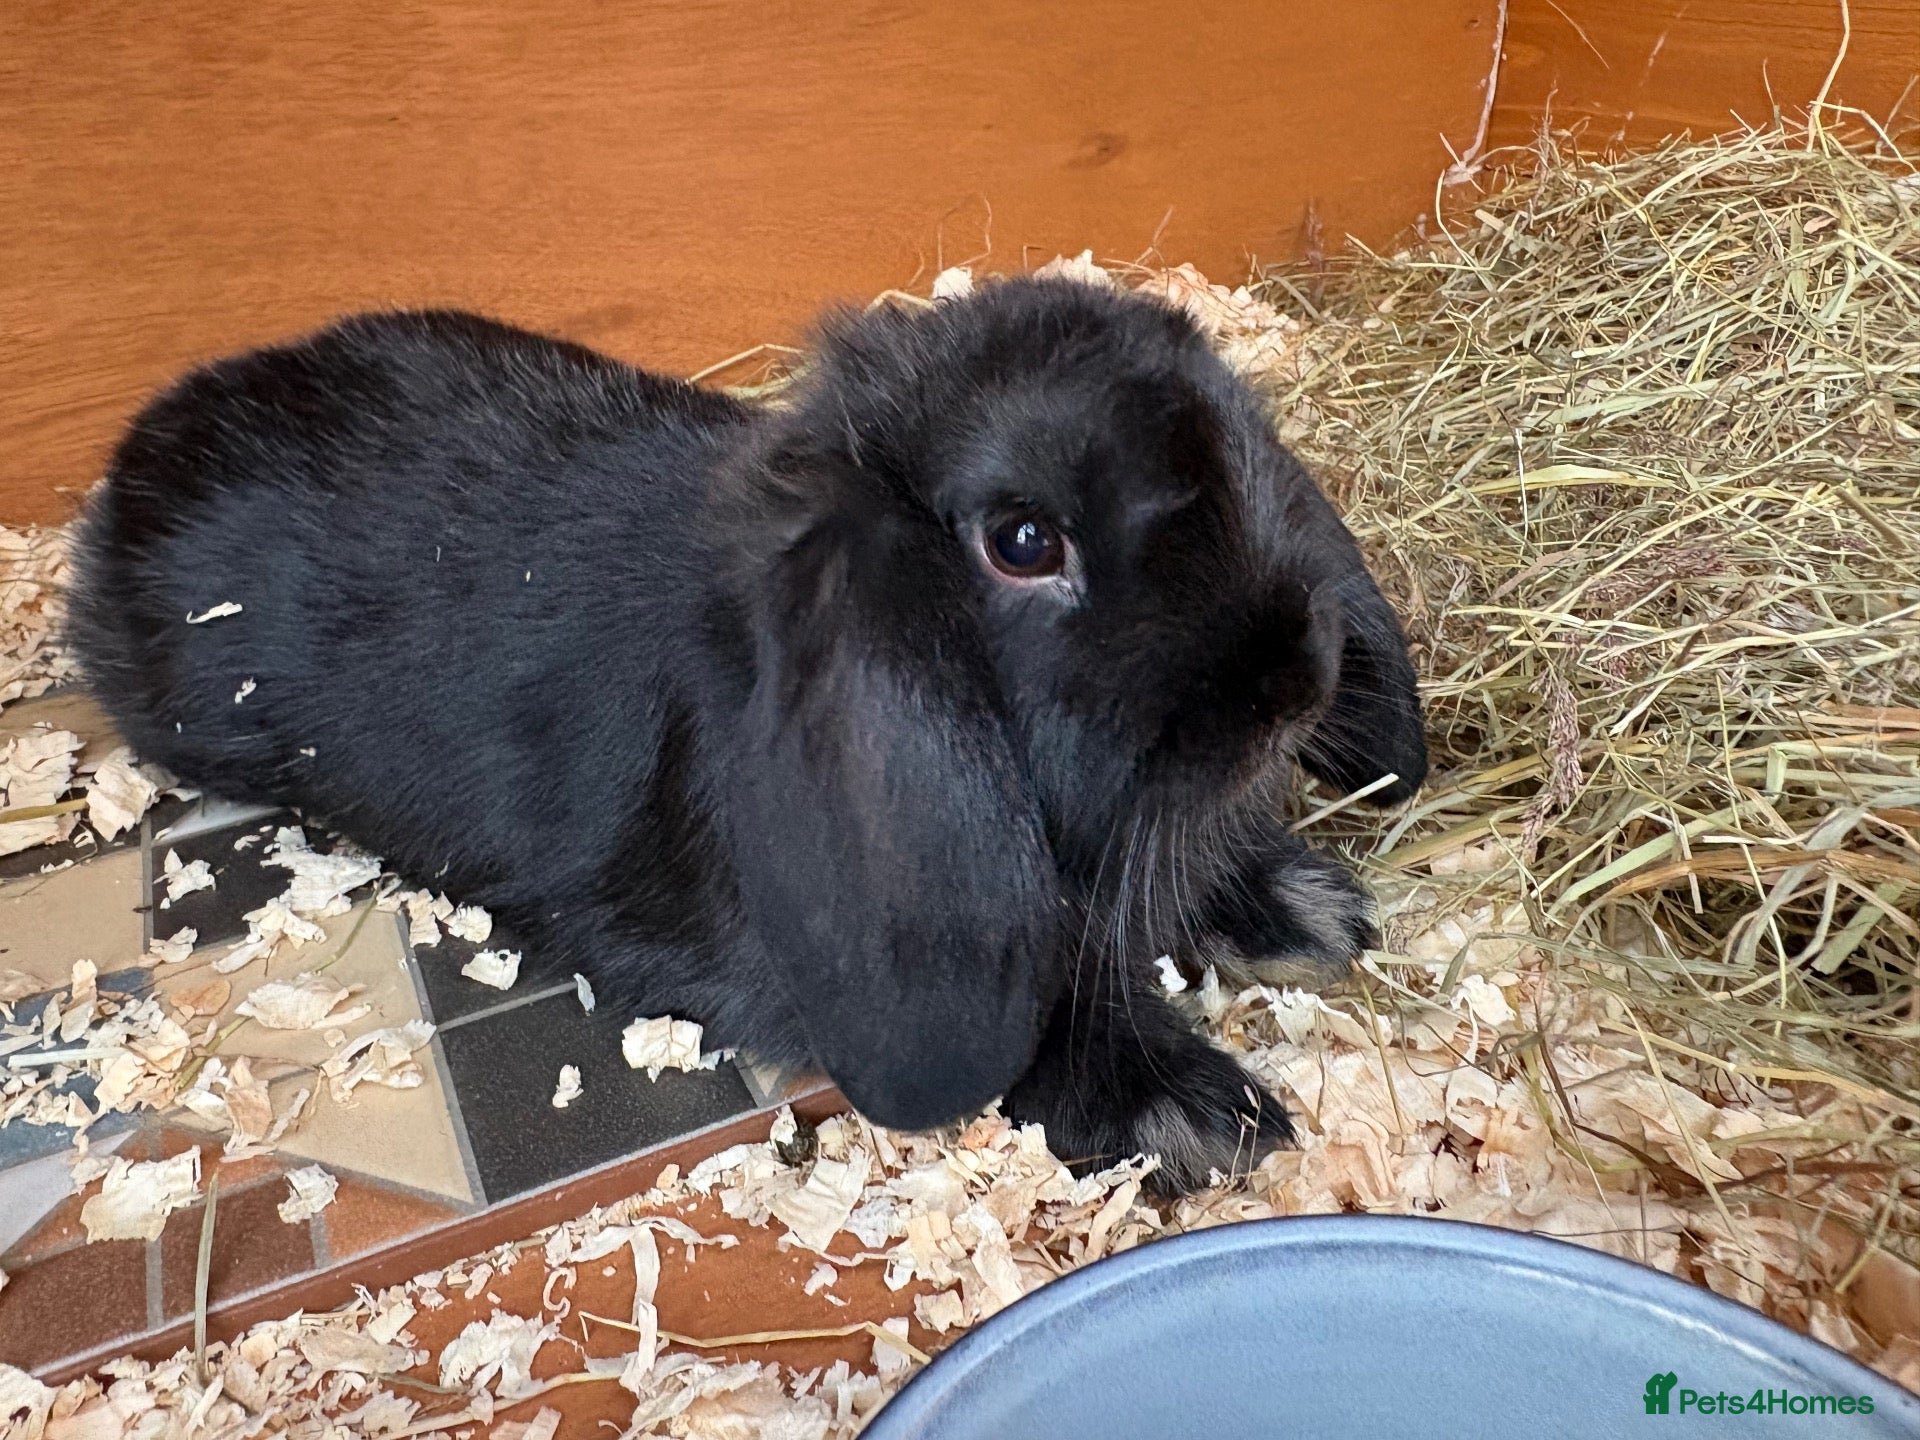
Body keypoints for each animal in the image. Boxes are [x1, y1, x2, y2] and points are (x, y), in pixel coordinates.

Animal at [68, 277, 1427, 1194]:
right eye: (1025, 542)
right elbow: (1039, 1011)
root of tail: (133, 459)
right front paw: (1196, 1111)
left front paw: (1300, 907)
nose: (1293, 679)